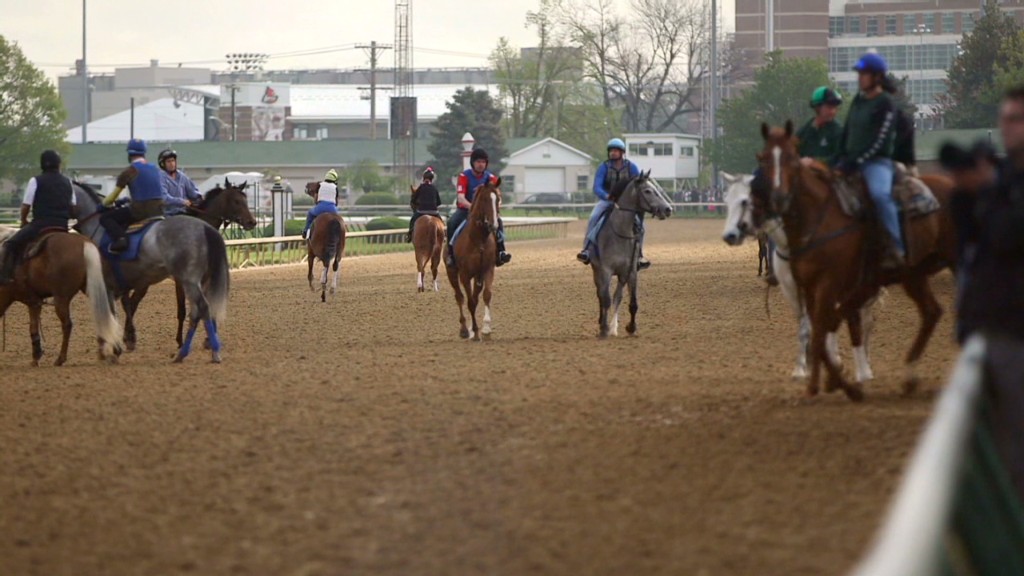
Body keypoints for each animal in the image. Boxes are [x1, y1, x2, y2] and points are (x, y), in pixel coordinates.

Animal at [0, 224, 123, 362]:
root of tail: (85, 244)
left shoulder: (31, 300)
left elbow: (33, 327)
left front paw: (36, 356)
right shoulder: (35, 302)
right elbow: (33, 327)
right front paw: (37, 355)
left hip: (61, 298)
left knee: (67, 325)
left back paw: (61, 358)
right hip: (96, 289)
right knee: (108, 314)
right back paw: (113, 349)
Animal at [442, 179, 501, 338]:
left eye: (498, 199)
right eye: (485, 199)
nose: (494, 225)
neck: (478, 240)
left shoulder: (487, 269)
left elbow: (486, 295)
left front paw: (485, 328)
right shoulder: (465, 274)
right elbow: (469, 302)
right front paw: (474, 330)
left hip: (477, 276)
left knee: (475, 295)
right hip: (452, 272)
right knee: (459, 296)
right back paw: (464, 329)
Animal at [589, 169, 675, 336]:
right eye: (647, 190)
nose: (668, 209)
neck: (619, 233)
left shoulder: (631, 272)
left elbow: (632, 302)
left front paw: (631, 327)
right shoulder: (605, 271)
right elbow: (605, 299)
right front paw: (603, 329)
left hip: (622, 276)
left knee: (617, 296)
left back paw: (613, 327)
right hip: (596, 272)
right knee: (601, 296)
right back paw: (603, 324)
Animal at [757, 120, 954, 399]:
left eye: (792, 160)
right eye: (762, 159)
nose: (777, 199)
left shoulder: (832, 284)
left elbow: (829, 326)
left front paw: (843, 378)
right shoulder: (804, 287)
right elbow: (815, 328)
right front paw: (820, 379)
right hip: (913, 274)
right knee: (930, 312)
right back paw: (908, 376)